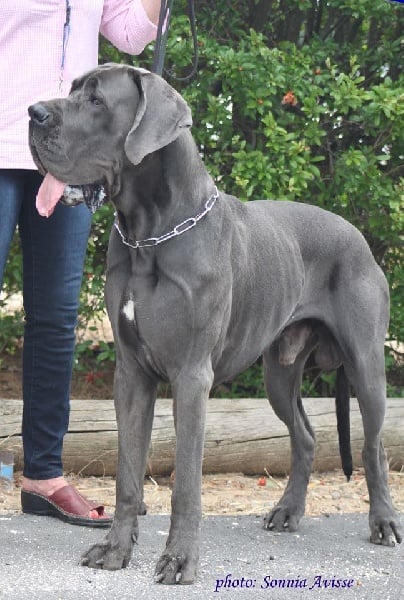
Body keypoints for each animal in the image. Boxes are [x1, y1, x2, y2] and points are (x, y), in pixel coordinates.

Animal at [27, 64, 400, 580]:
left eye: (98, 101)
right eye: (73, 90)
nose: (33, 112)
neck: (150, 234)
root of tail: (357, 235)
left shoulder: (190, 376)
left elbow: (186, 484)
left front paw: (179, 559)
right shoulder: (131, 375)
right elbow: (127, 476)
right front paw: (115, 548)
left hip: (365, 366)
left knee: (375, 447)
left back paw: (383, 523)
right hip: (279, 374)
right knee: (304, 436)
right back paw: (287, 511)